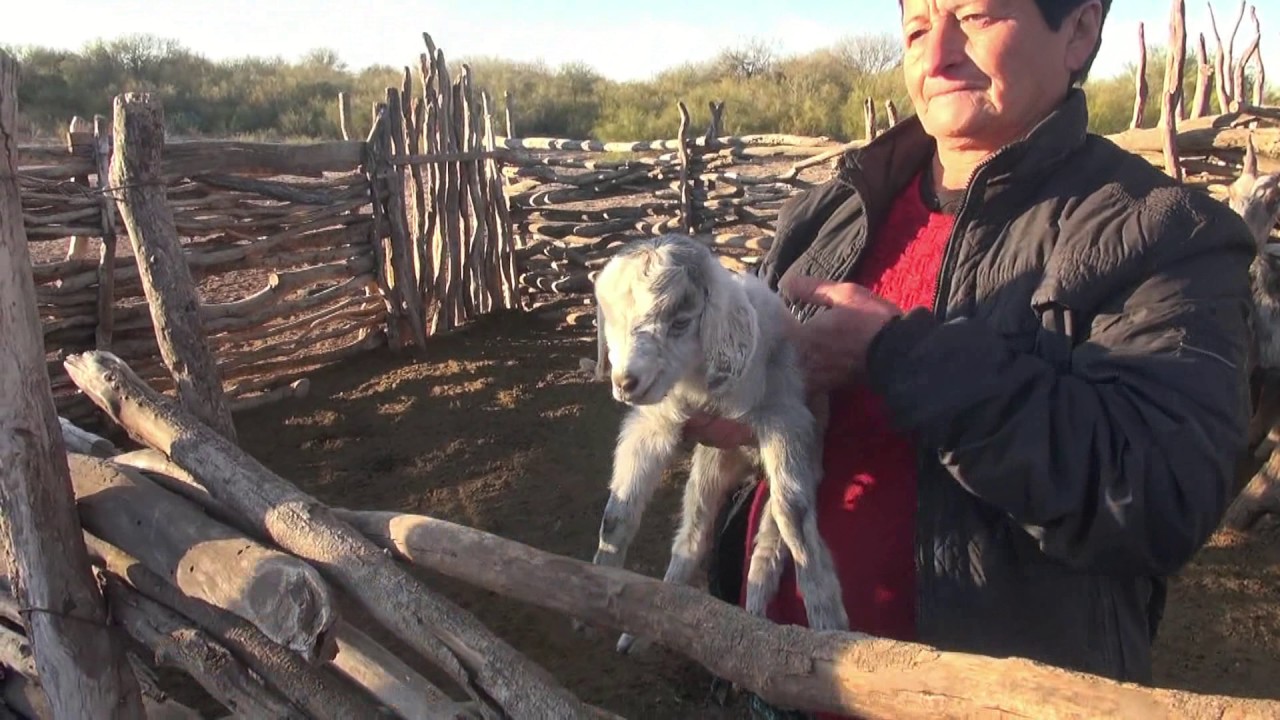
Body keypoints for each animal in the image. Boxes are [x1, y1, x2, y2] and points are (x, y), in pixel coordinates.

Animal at [586, 230, 844, 650]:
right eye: (613, 320)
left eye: (680, 322)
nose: (625, 383)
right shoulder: (654, 423)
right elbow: (616, 515)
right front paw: (600, 580)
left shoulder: (787, 420)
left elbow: (793, 518)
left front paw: (828, 621)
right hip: (712, 463)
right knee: (694, 533)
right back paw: (645, 630)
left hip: (806, 456)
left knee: (773, 532)